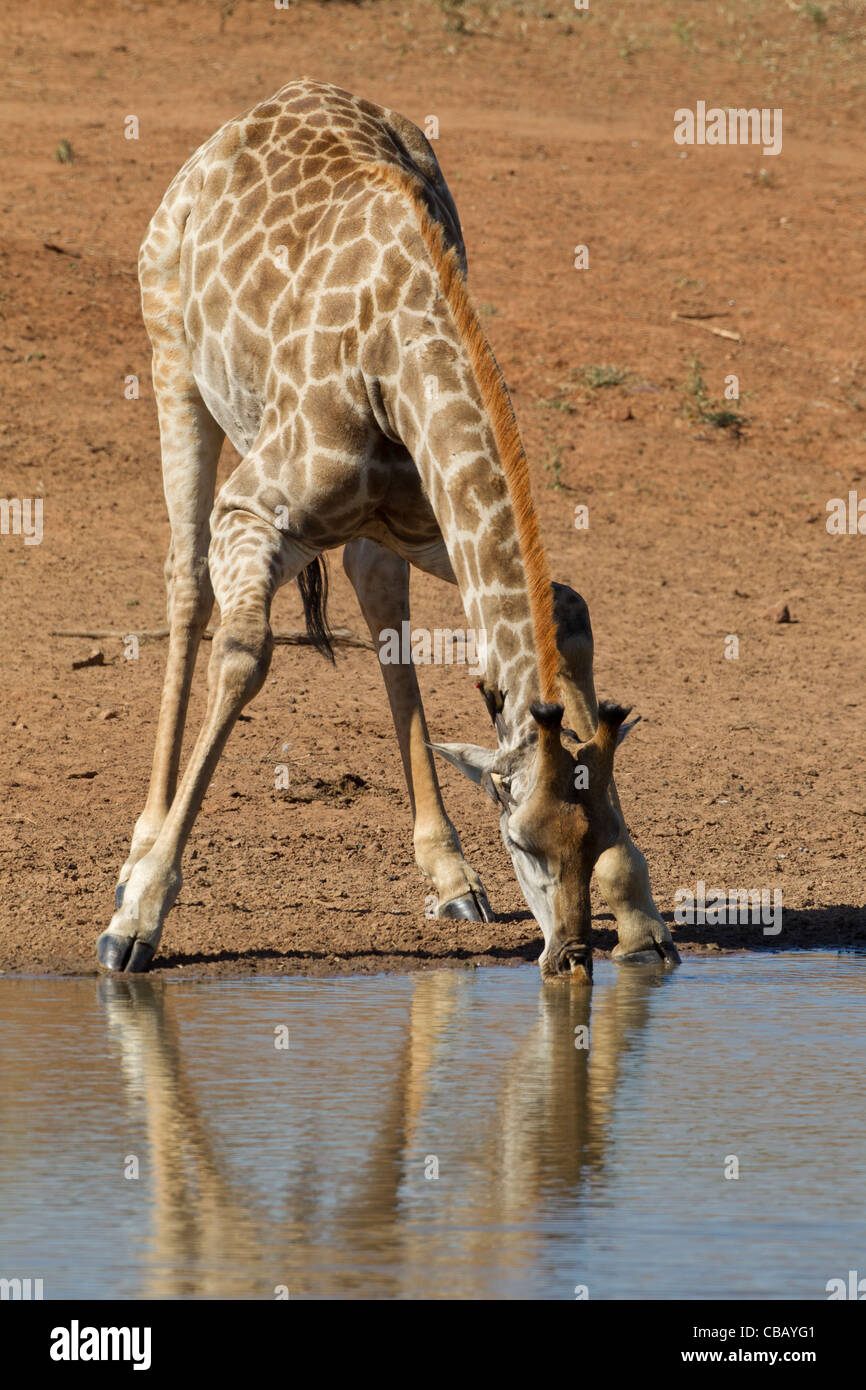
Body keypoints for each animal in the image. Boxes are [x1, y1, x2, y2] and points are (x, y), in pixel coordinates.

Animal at [97, 81, 681, 984]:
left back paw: (450, 876)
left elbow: (567, 607)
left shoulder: (429, 520)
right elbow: (244, 653)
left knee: (377, 598)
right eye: (524, 842)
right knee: (185, 583)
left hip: (384, 532)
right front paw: (138, 918)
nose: (570, 957)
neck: (397, 358)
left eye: (597, 838)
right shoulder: (250, 510)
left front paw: (644, 919)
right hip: (172, 364)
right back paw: (137, 851)